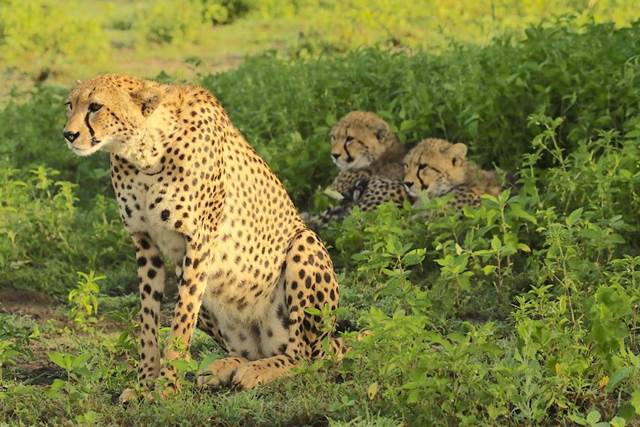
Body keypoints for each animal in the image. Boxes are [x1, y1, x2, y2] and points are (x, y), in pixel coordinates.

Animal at [64, 74, 342, 402]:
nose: (68, 134)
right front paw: (144, 384)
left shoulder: (199, 241)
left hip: (303, 244)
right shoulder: (145, 243)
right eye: (69, 105)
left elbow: (181, 323)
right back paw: (224, 368)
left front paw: (166, 388)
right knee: (249, 350)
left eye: (95, 107)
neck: (144, 154)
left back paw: (258, 371)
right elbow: (147, 322)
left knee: (307, 356)